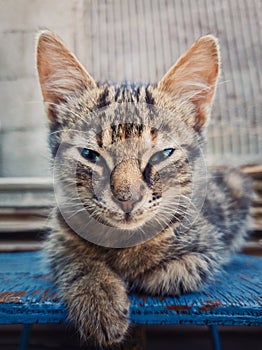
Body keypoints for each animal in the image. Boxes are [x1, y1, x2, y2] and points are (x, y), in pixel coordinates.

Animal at [36, 30, 252, 348]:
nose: (127, 198)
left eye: (163, 155)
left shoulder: (208, 246)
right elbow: (75, 260)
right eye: (90, 155)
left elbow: (178, 272)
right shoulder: (57, 241)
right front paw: (98, 295)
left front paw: (139, 276)